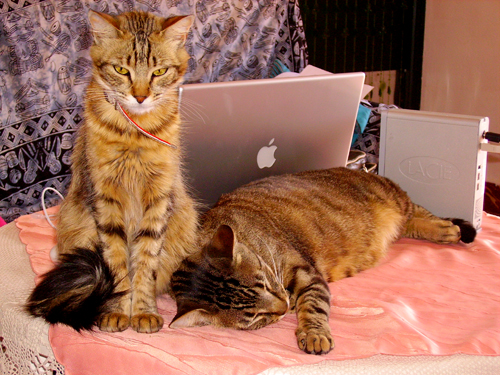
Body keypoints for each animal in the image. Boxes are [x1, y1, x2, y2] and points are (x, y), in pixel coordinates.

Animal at [25, 10, 197, 334]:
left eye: (158, 72)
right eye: (121, 69)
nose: (140, 97)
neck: (134, 134)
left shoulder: (158, 198)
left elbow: (145, 263)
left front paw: (143, 311)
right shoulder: (105, 198)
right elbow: (116, 264)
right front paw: (117, 310)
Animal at [169, 167, 476, 356]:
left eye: (264, 283)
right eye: (254, 316)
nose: (284, 307)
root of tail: (364, 170)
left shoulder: (307, 274)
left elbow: (313, 307)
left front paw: (314, 333)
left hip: (395, 198)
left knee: (420, 213)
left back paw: (447, 229)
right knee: (411, 222)